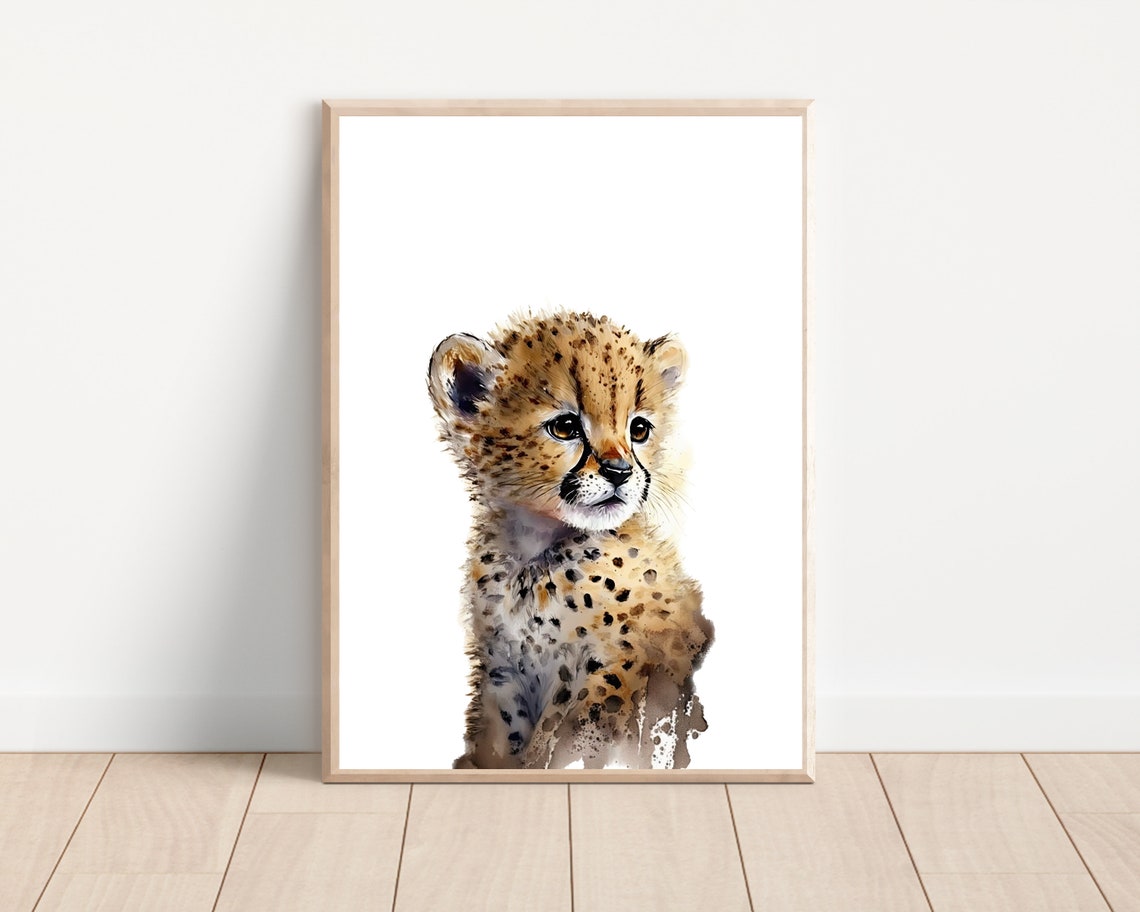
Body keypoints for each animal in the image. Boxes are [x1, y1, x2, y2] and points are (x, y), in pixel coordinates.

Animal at [428, 311, 713, 770]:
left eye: (639, 429)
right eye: (565, 427)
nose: (619, 472)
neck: (533, 554)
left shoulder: (612, 665)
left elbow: (568, 737)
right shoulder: (502, 670)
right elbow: (502, 738)